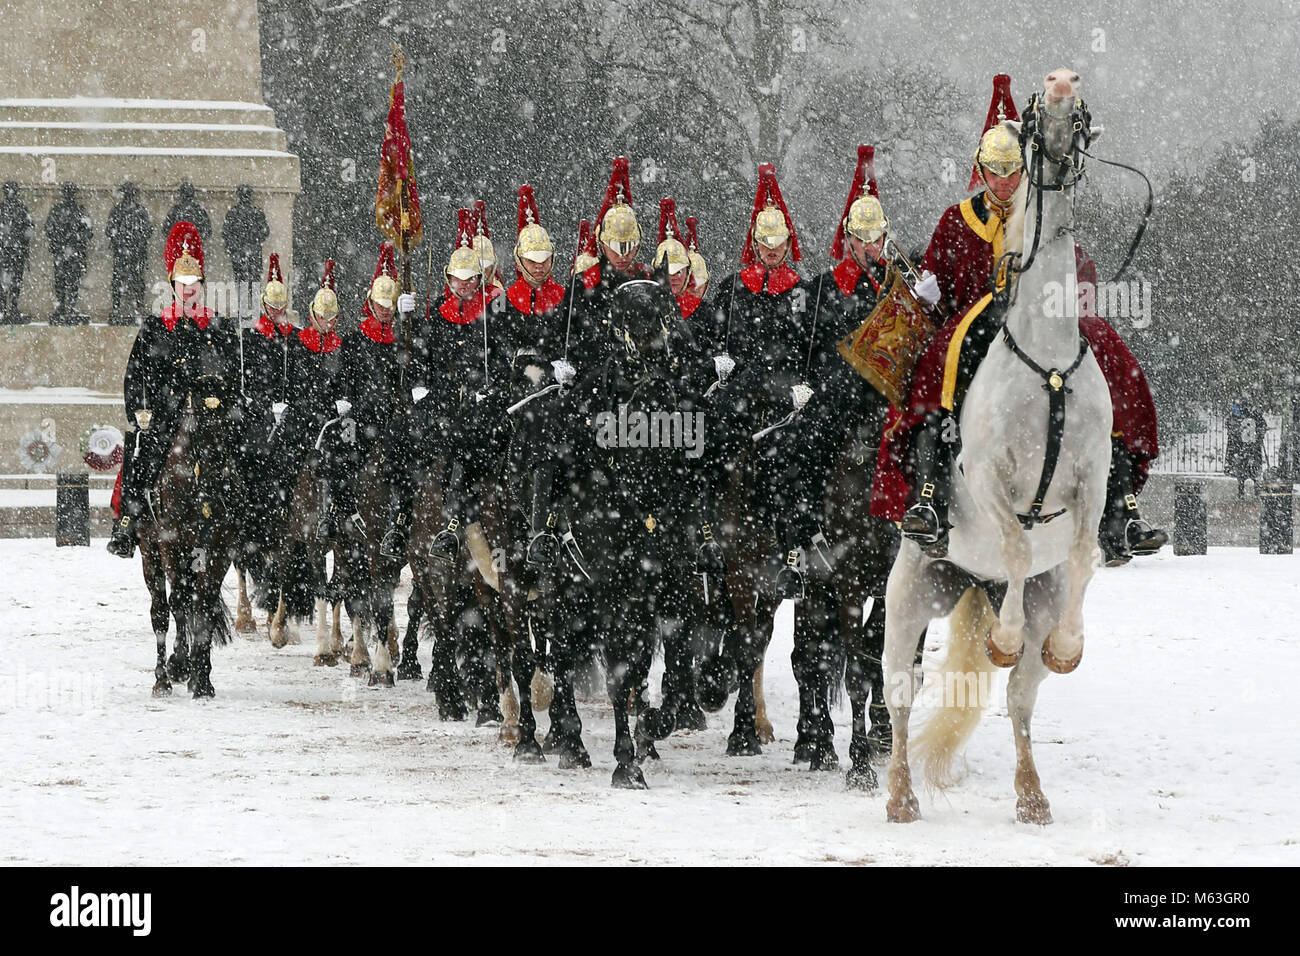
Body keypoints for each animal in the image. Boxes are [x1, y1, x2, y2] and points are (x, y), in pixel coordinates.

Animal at [878, 69, 1112, 832]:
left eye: (1078, 98)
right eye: (1038, 104)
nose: (1063, 83)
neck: (1047, 358)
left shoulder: (1093, 481)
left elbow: (1083, 553)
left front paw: (1070, 645)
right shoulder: (985, 478)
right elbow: (1011, 539)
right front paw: (1002, 640)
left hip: (1030, 598)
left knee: (1020, 700)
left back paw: (1032, 793)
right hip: (908, 597)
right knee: (899, 692)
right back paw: (899, 794)